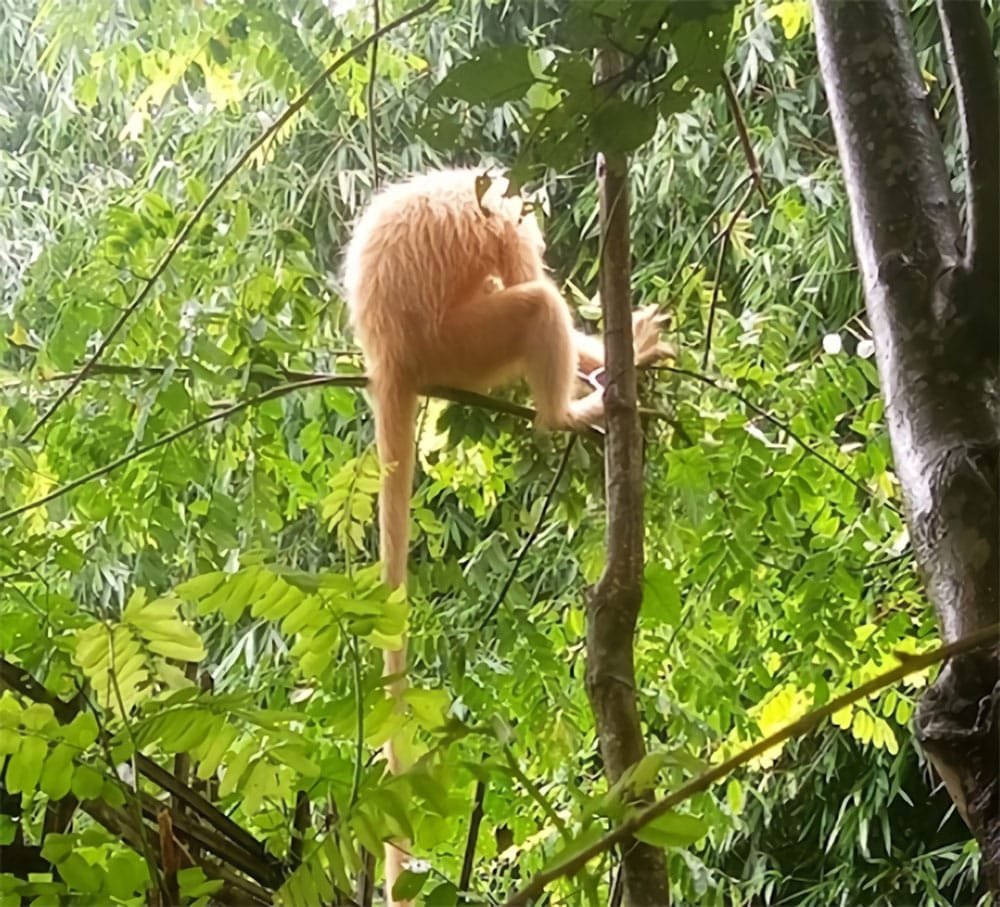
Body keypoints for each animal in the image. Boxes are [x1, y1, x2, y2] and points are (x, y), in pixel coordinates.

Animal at [340, 168, 668, 900]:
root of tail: (389, 354)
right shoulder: (508, 224)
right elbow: (530, 278)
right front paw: (625, 350)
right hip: (459, 346)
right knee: (535, 304)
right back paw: (567, 411)